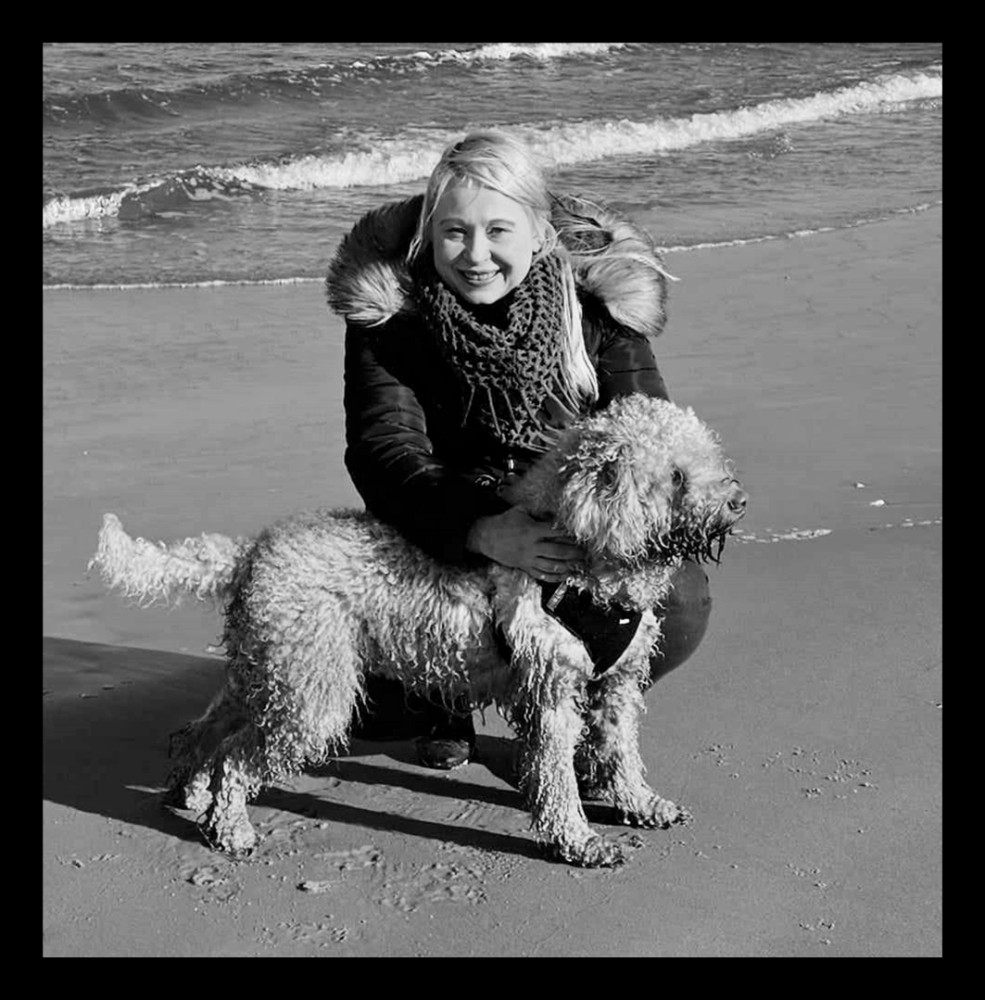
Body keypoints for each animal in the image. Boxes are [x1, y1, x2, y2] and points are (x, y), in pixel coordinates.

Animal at [89, 394, 746, 867]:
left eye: (707, 456)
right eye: (677, 476)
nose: (738, 499)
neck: (586, 561)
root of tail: (250, 552)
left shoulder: (616, 684)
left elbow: (621, 752)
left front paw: (639, 804)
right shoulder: (552, 691)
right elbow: (557, 778)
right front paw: (579, 842)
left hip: (268, 671)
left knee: (201, 734)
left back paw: (189, 795)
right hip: (311, 695)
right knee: (235, 756)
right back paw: (230, 827)